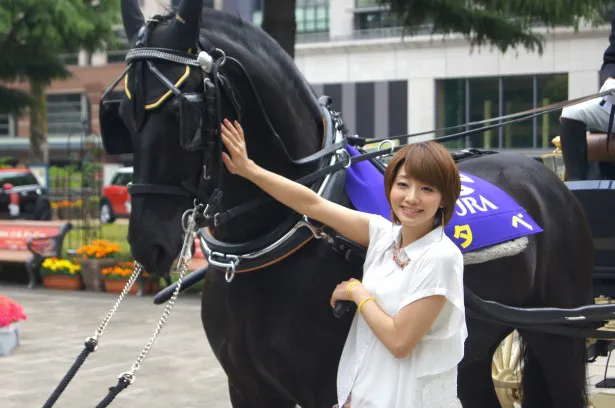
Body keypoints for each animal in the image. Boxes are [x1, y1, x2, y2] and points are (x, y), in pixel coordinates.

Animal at [106, 1, 596, 406]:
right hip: (473, 351)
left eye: (183, 115)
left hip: (559, 335)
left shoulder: (328, 388)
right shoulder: (247, 387)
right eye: (121, 116)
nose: (148, 242)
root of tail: (545, 176)